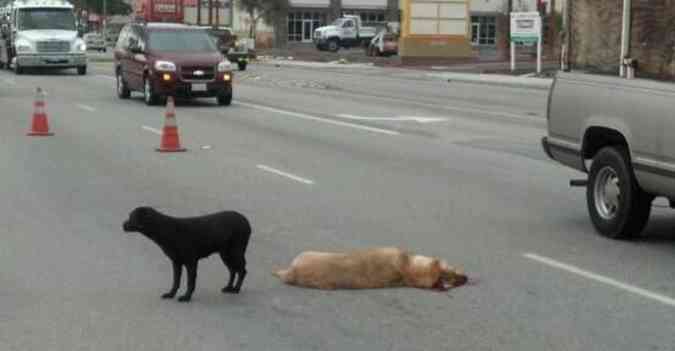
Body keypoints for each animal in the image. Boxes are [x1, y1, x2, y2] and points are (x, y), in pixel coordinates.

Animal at [123, 208, 252, 304]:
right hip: (225, 254)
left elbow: (190, 282)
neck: (167, 229)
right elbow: (175, 281)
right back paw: (229, 287)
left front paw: (186, 297)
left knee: (242, 271)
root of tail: (246, 221)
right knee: (233, 270)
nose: (122, 225)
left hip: (235, 251)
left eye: (131, 217)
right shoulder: (176, 262)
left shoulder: (191, 262)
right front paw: (170, 294)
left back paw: (236, 289)